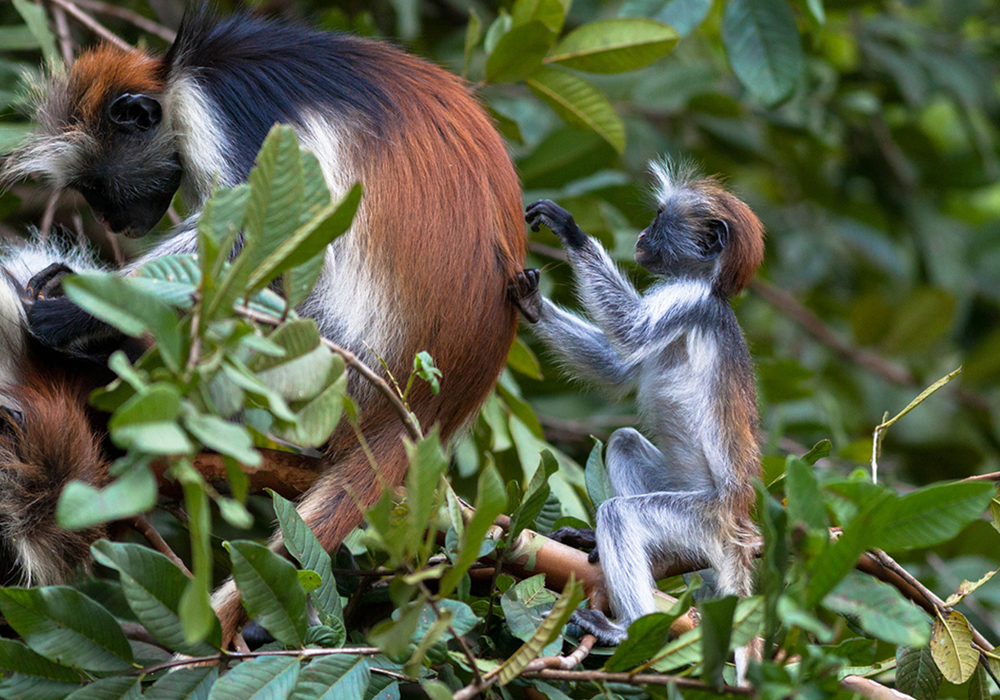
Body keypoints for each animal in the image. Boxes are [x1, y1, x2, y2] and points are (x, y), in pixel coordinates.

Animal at [0, 8, 528, 636]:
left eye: (99, 186)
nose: (112, 222)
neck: (180, 74)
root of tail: (429, 404)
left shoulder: (219, 114)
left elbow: (259, 238)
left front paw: (72, 308)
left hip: (327, 360)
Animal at [512, 163, 760, 680]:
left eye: (659, 218)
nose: (643, 236)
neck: (710, 287)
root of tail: (738, 519)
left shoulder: (685, 299)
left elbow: (629, 333)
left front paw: (570, 230)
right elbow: (616, 369)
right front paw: (530, 302)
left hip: (699, 516)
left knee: (622, 513)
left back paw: (627, 630)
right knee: (625, 441)